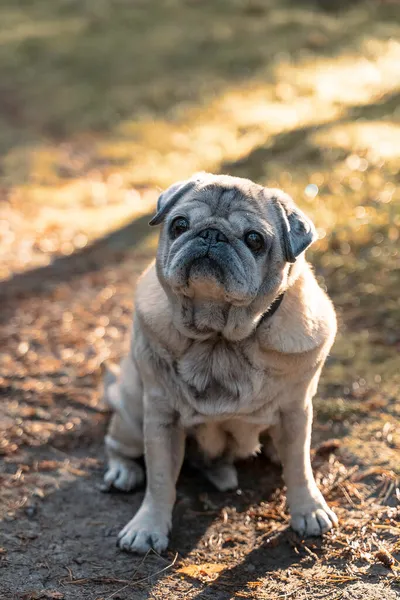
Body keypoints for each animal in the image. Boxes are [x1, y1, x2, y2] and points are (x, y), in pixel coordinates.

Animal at [102, 172, 338, 552]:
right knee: (116, 446)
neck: (218, 338)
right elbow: (160, 480)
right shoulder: (160, 418)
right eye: (179, 225)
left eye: (254, 240)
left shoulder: (296, 412)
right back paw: (124, 471)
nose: (211, 234)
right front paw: (148, 527)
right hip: (132, 415)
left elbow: (299, 468)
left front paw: (309, 510)